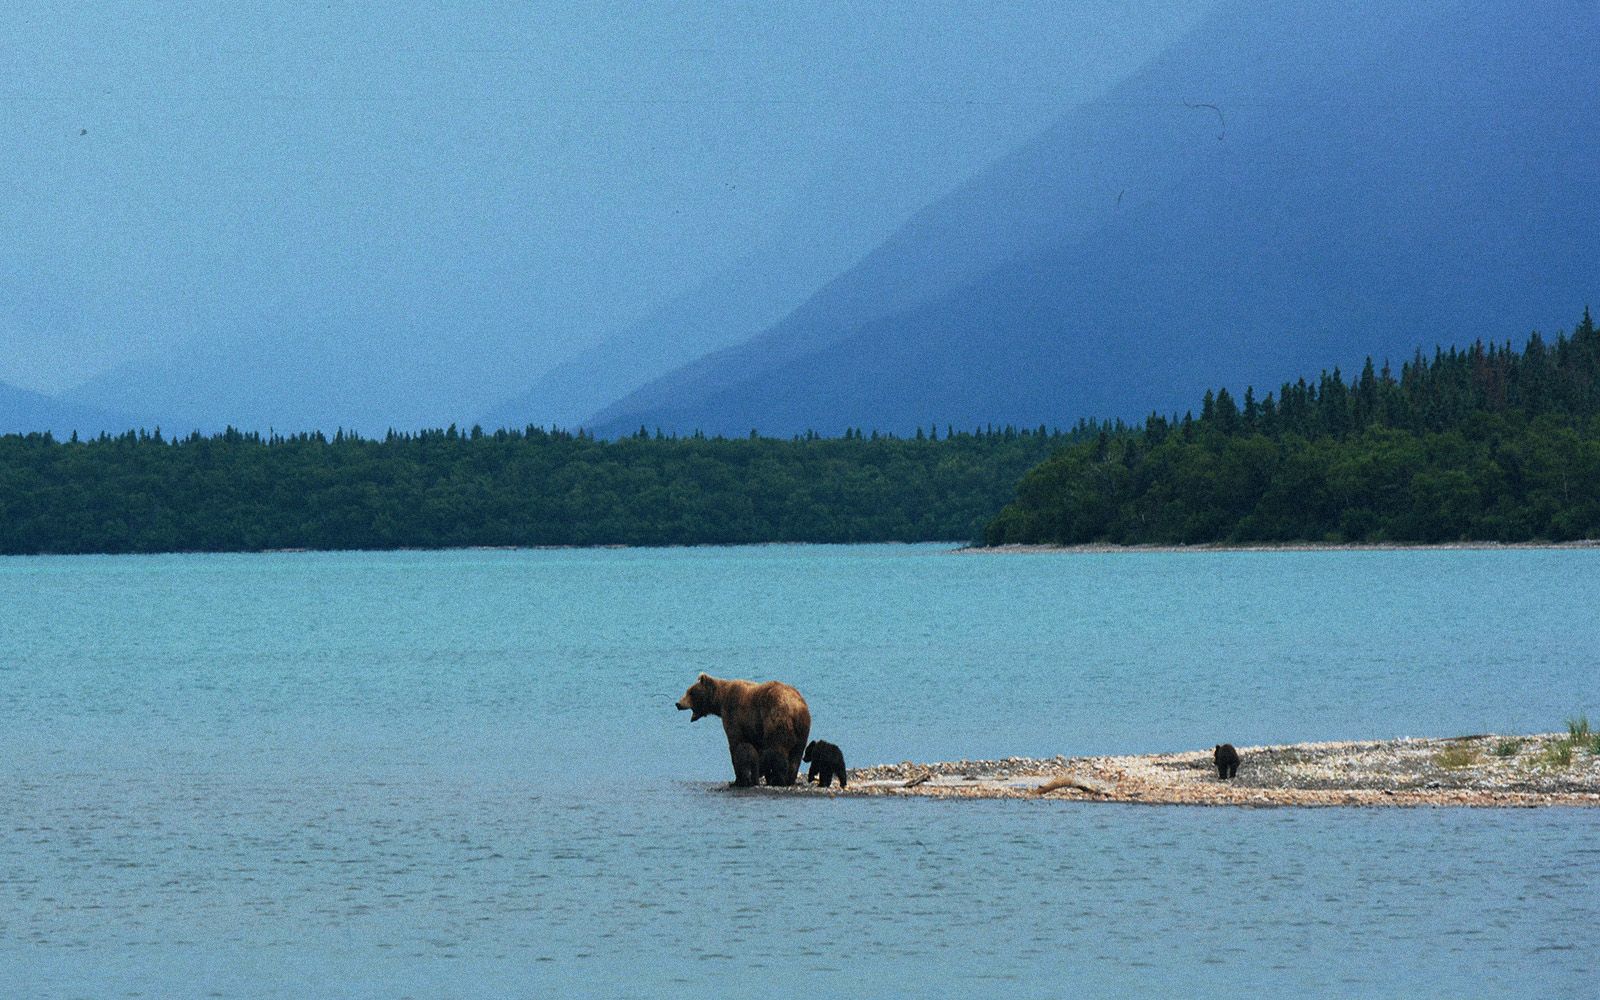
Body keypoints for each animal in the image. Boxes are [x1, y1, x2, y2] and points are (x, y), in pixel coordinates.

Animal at [675, 672, 812, 787]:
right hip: (802, 730)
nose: (678, 704)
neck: (720, 701)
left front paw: (738, 780)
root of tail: (796, 708)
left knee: (778, 749)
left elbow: (736, 745)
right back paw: (789, 779)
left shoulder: (734, 715)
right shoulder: (754, 729)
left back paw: (778, 780)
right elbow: (755, 751)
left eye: (690, 692)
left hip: (777, 719)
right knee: (796, 755)